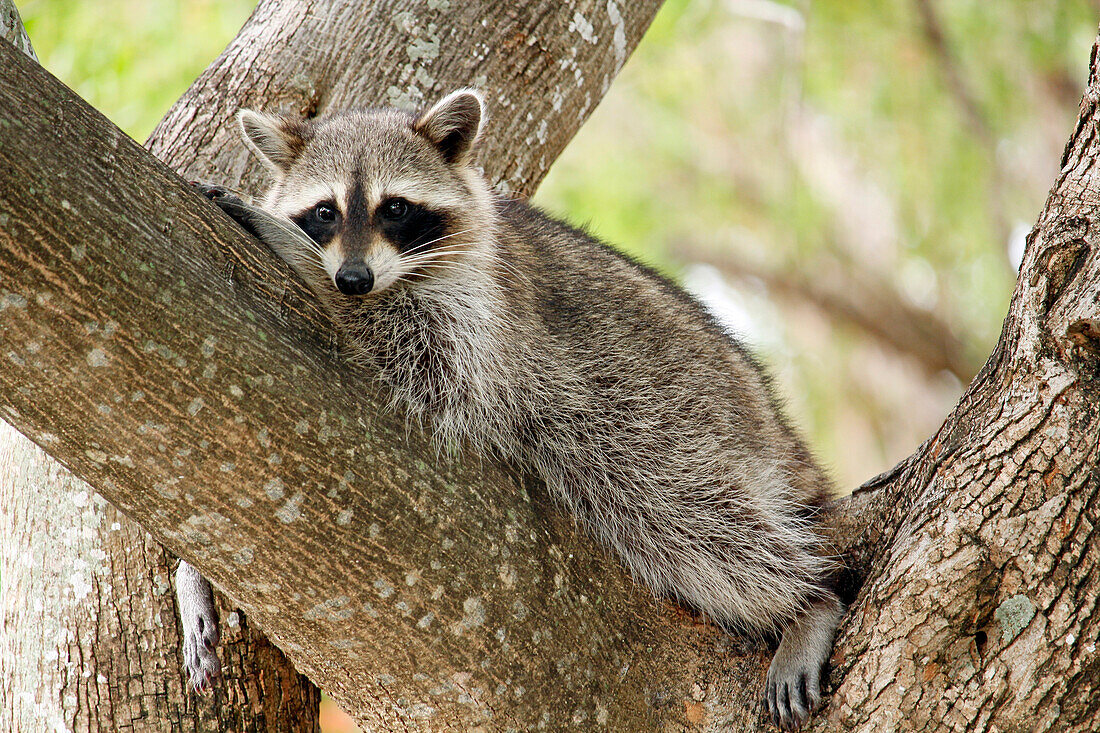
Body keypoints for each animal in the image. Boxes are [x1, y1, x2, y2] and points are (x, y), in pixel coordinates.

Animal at [184, 88, 844, 726]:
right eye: (325, 211)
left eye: (394, 208)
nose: (351, 279)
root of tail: (770, 416)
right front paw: (194, 578)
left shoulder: (488, 316)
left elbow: (435, 364)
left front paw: (295, 254)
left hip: (667, 408)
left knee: (690, 514)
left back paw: (805, 601)